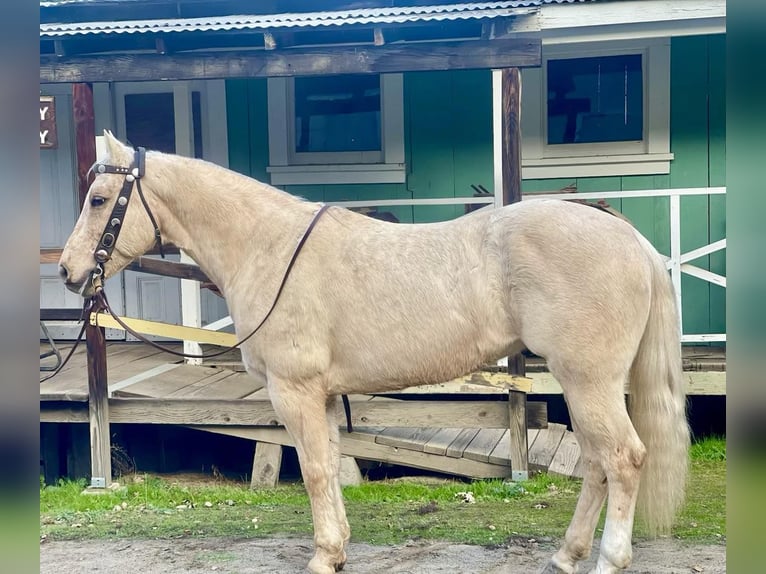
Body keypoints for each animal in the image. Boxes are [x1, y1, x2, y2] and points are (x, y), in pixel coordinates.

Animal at [63, 133, 692, 574]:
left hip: (589, 381)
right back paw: (566, 554)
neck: (269, 246)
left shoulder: (293, 391)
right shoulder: (322, 396)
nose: (69, 271)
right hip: (586, 385)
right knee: (597, 464)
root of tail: (630, 238)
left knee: (623, 459)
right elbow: (330, 465)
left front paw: (322, 556)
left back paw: (609, 558)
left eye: (99, 198)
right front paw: (337, 549)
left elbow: (315, 470)